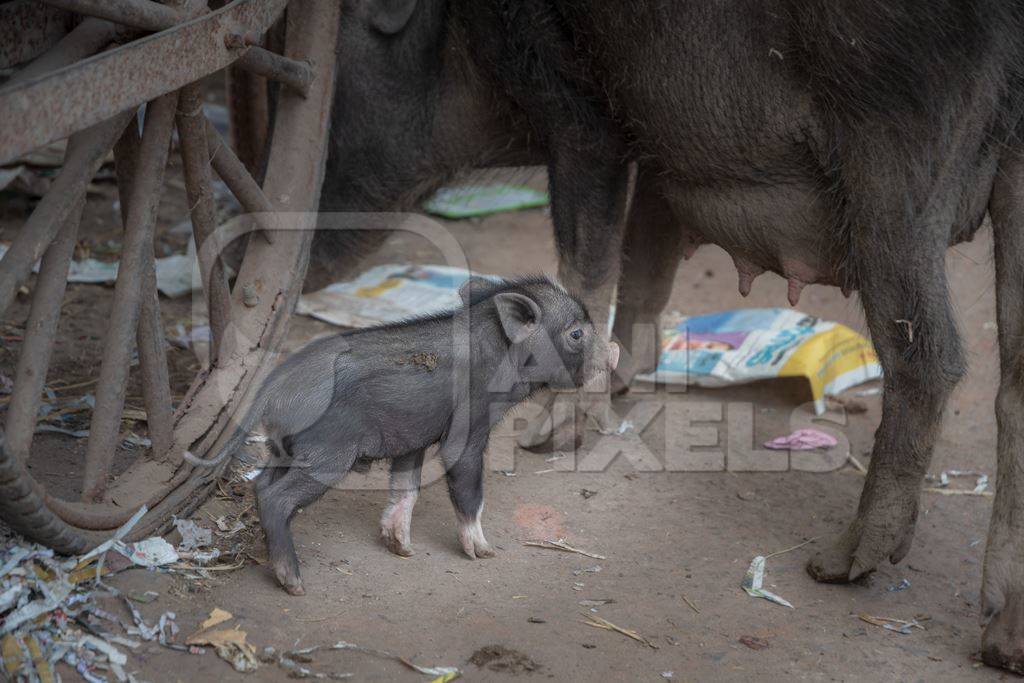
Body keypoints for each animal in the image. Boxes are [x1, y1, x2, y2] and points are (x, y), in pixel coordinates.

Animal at [221, 276, 614, 593]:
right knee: (276, 497)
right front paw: (484, 553)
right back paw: (295, 584)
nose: (615, 352)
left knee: (261, 484)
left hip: (282, 449)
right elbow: (468, 489)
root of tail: (273, 387)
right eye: (576, 333)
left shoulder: (411, 439)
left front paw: (402, 549)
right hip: (327, 455)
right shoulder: (469, 423)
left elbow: (405, 487)